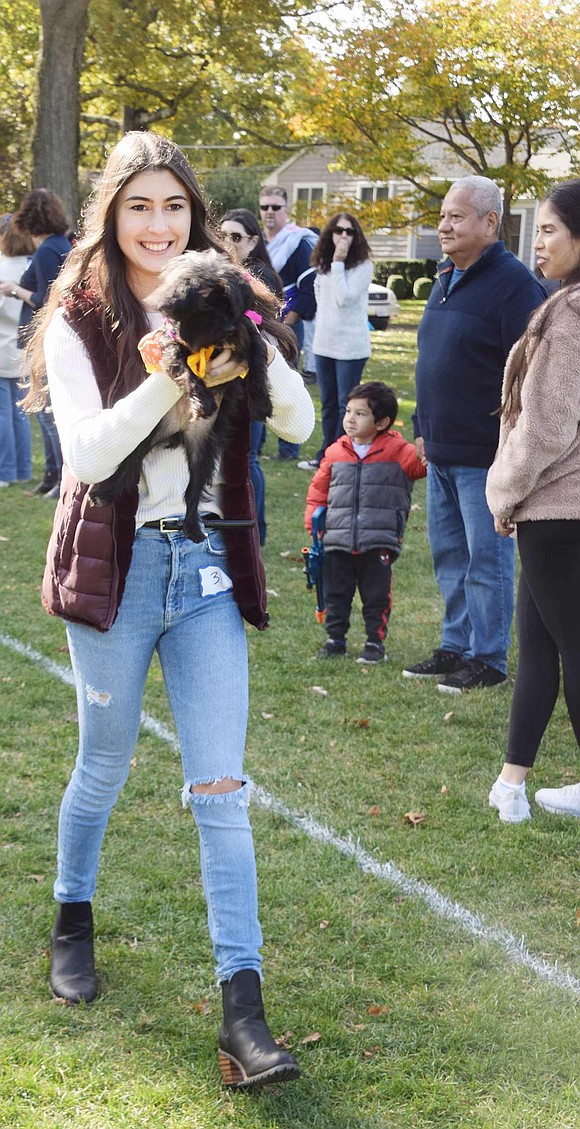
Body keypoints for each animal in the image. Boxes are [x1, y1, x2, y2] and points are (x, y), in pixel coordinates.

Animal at [88, 251, 273, 541]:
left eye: (232, 305)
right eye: (207, 305)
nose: (229, 329)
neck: (210, 343)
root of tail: (179, 431)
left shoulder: (250, 336)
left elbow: (257, 365)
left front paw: (262, 403)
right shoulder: (173, 346)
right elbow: (186, 370)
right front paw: (202, 400)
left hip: (204, 453)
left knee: (192, 491)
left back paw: (192, 526)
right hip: (142, 437)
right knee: (129, 467)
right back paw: (104, 494)